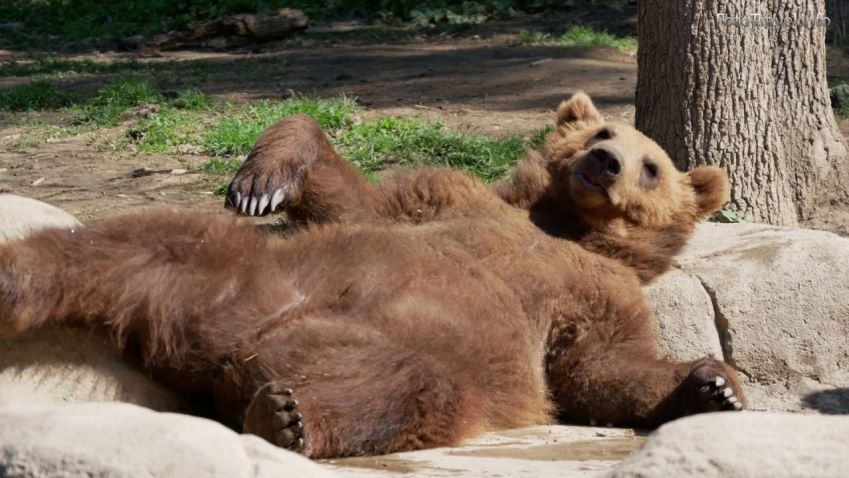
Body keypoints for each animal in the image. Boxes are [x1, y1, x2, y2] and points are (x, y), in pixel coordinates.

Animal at [0, 93, 744, 460]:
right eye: (601, 133)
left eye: (651, 164)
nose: (606, 162)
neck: (558, 221)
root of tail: (227, 346)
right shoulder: (448, 199)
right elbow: (355, 198)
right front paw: (262, 183)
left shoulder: (598, 293)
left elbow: (599, 369)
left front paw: (713, 385)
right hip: (230, 268)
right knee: (130, 244)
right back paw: (14, 281)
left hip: (427, 356)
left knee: (406, 389)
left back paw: (282, 417)